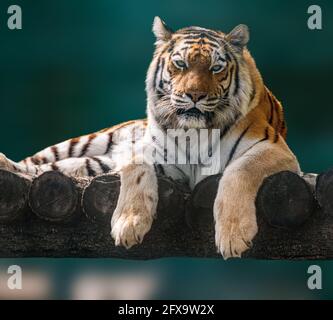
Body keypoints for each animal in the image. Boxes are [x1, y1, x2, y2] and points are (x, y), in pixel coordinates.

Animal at [0, 16, 298, 258]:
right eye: (180, 64)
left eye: (215, 68)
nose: (195, 95)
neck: (195, 133)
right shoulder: (142, 151)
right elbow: (137, 168)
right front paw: (128, 224)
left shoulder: (274, 149)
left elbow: (239, 170)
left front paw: (234, 235)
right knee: (37, 163)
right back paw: (6, 163)